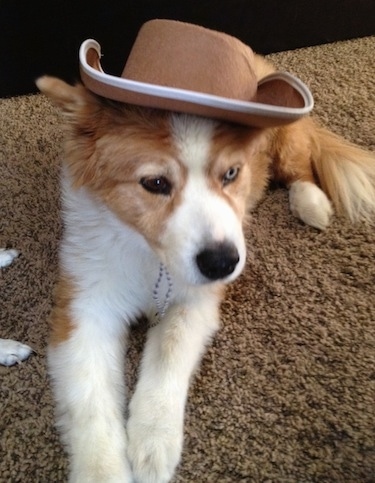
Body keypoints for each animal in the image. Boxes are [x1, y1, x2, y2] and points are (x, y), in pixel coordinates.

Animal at [36, 20, 375, 483]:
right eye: (155, 183)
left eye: (231, 173)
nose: (222, 264)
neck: (152, 257)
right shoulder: (84, 303)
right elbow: (89, 398)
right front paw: (104, 469)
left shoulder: (197, 300)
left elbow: (169, 349)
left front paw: (153, 443)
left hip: (286, 140)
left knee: (300, 167)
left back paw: (312, 203)